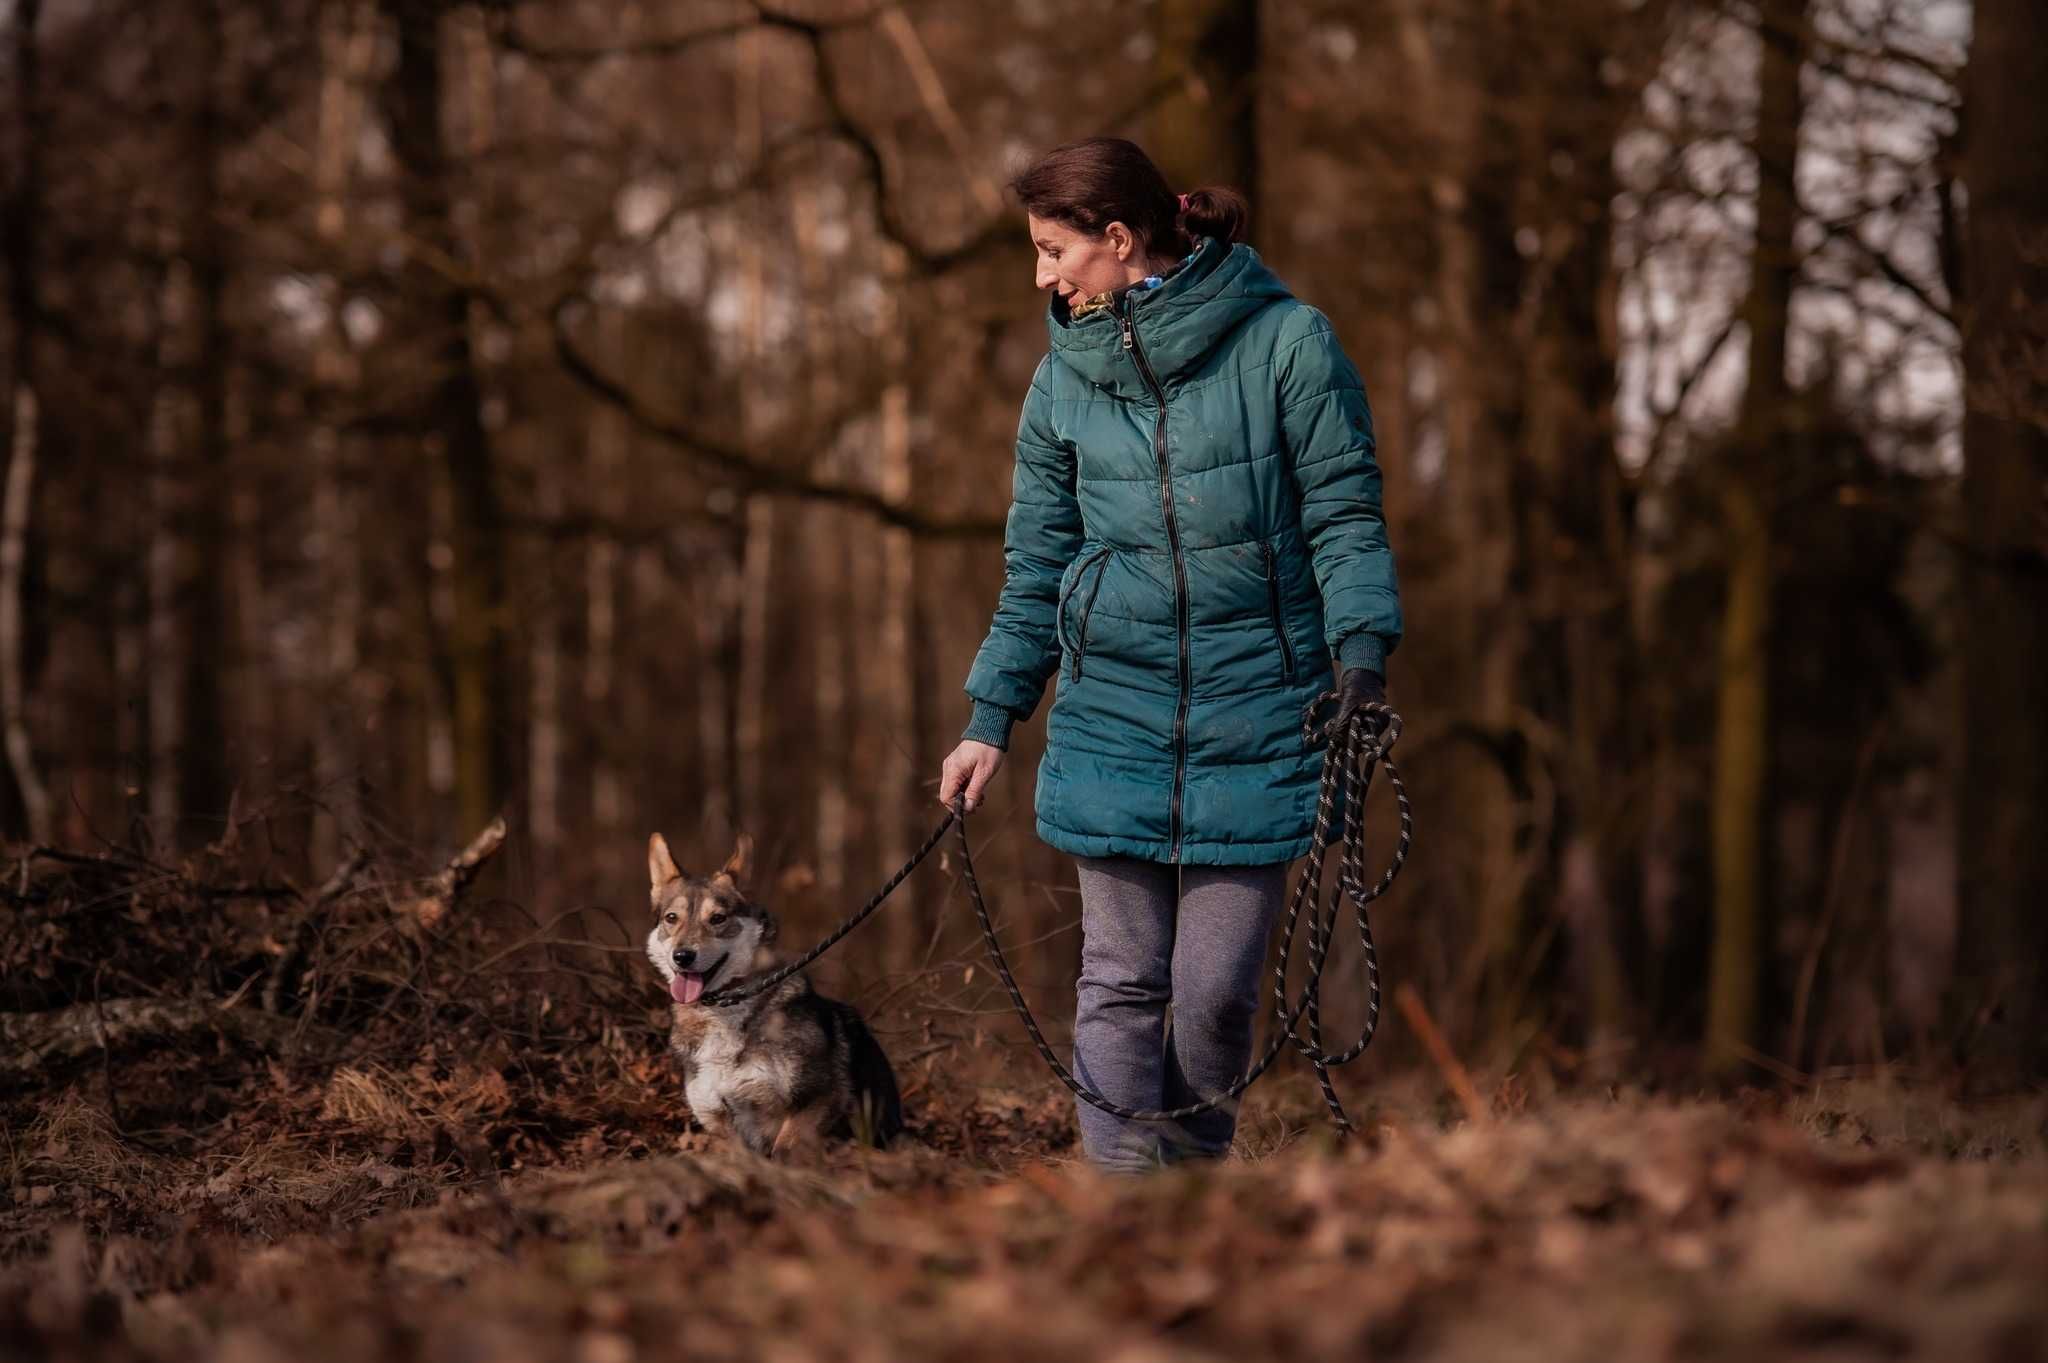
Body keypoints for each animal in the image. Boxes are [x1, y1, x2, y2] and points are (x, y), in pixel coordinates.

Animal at [638, 822, 897, 1154]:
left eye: (718, 918)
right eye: (672, 918)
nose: (682, 956)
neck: (725, 1009)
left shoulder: (813, 1105)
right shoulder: (721, 1122)